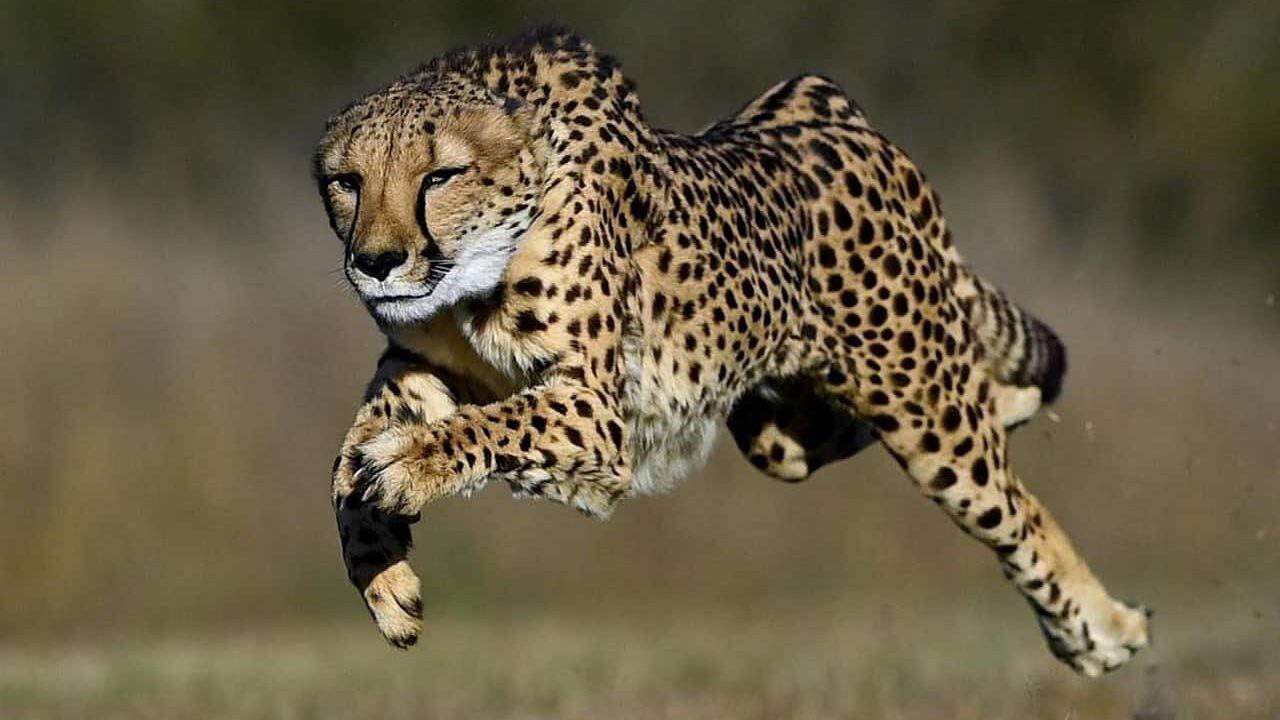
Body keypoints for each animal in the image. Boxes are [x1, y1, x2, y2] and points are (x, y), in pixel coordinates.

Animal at [313, 27, 1149, 676]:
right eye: (346, 181)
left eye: (440, 176)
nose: (376, 262)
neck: (473, 274)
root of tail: (827, 107)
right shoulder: (419, 366)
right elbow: (345, 461)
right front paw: (381, 572)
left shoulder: (596, 411)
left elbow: (479, 429)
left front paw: (408, 466)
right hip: (777, 431)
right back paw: (1015, 404)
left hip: (923, 410)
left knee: (1017, 507)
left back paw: (1104, 630)